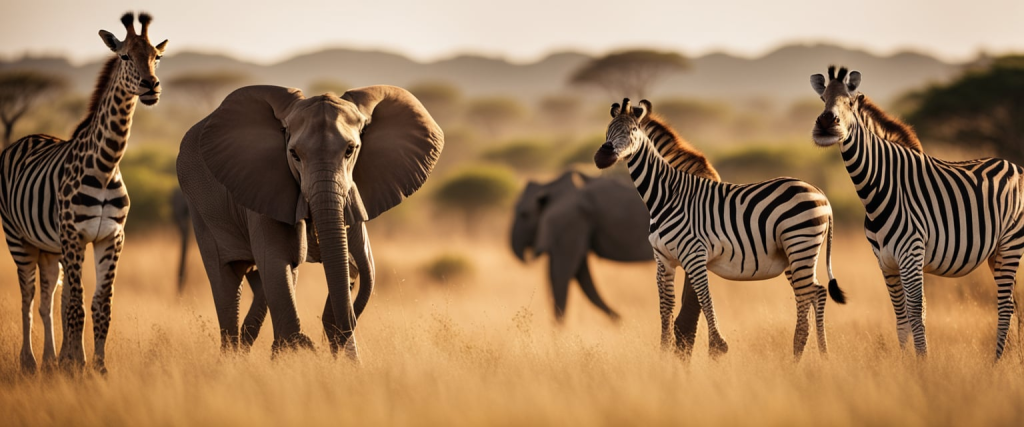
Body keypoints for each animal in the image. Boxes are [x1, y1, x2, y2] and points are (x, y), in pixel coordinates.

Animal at [0, 12, 167, 372]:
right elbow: (76, 306)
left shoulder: (111, 237)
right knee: (28, 297)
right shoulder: (75, 235)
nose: (151, 86)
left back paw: (52, 360)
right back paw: (30, 362)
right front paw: (79, 368)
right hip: (19, 239)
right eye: (124, 57)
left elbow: (100, 305)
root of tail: (26, 138)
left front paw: (96, 367)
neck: (106, 166)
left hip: (51, 248)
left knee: (50, 299)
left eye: (156, 57)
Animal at [178, 83, 442, 356]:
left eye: (350, 150)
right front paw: (296, 351)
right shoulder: (262, 184)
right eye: (294, 154)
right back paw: (232, 355)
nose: (334, 336)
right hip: (199, 206)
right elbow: (277, 259)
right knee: (226, 279)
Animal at [507, 169, 700, 339]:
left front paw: (557, 337)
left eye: (524, 214)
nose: (529, 257)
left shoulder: (569, 221)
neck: (552, 185)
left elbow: (562, 273)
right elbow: (579, 273)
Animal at [593, 99, 847, 356]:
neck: (666, 196)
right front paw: (664, 354)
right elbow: (666, 307)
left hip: (800, 245)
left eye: (633, 131)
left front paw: (717, 346)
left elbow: (704, 298)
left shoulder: (694, 254)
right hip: (794, 254)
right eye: (608, 130)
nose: (602, 156)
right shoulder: (663, 259)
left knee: (809, 295)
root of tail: (819, 192)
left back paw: (799, 357)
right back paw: (822, 356)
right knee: (817, 292)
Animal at [811, 65, 1019, 358]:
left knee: (1006, 306)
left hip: (1011, 244)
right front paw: (904, 364)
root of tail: (1013, 165)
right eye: (823, 99)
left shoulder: (911, 254)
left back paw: (996, 364)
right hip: (996, 252)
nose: (826, 123)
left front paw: (922, 365)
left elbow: (916, 313)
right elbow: (901, 318)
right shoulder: (885, 262)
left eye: (850, 102)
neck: (877, 192)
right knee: (1013, 303)